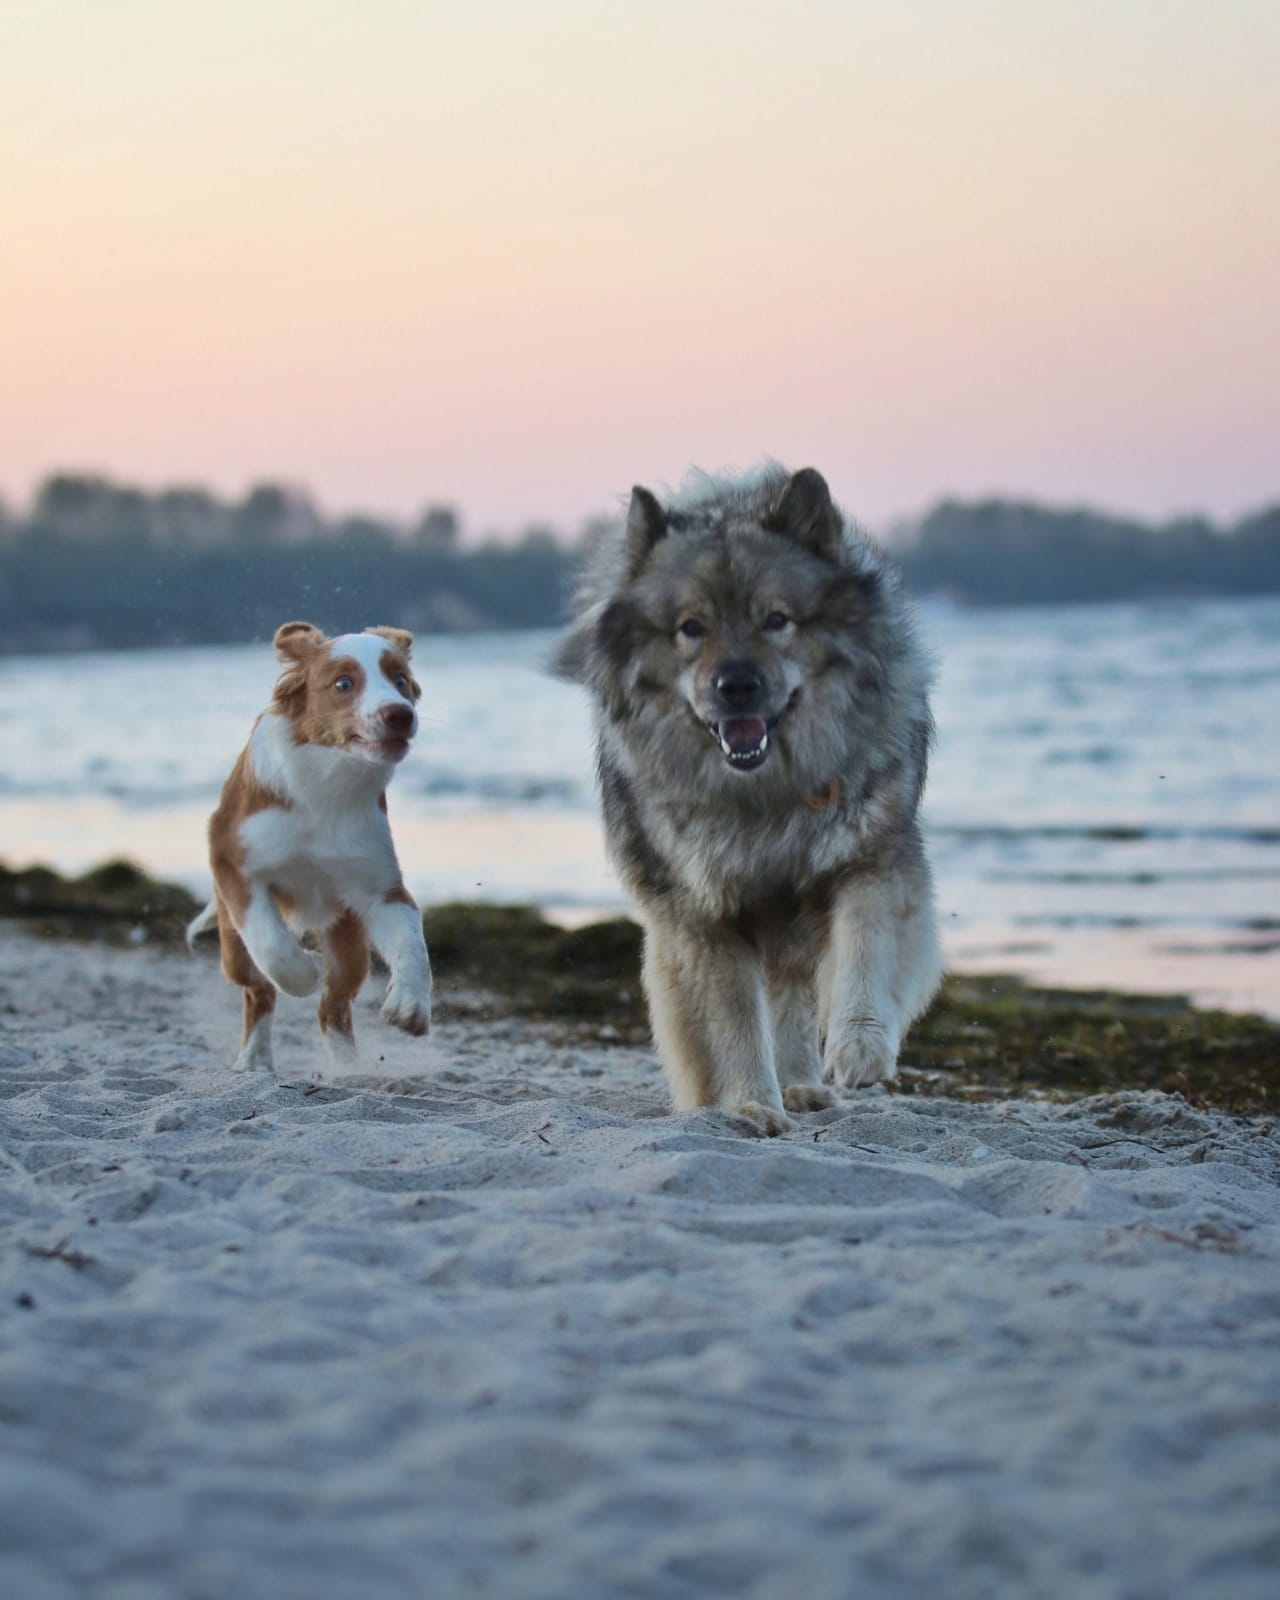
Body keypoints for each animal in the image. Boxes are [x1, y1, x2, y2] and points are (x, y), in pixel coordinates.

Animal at [187, 620, 432, 1075]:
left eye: (401, 680)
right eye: (343, 683)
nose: (400, 714)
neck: (325, 789)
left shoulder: (380, 887)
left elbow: (412, 941)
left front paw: (411, 1004)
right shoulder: (232, 860)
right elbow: (271, 944)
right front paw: (303, 971)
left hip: (347, 941)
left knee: (332, 1005)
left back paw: (349, 1068)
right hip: (233, 946)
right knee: (258, 991)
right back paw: (254, 1059)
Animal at [556, 467, 940, 1139]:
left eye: (776, 619)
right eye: (691, 628)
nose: (736, 685)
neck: (766, 794)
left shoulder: (873, 860)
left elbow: (866, 948)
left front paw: (861, 1046)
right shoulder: (704, 913)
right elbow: (732, 1021)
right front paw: (750, 1104)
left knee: (793, 995)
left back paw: (805, 1084)